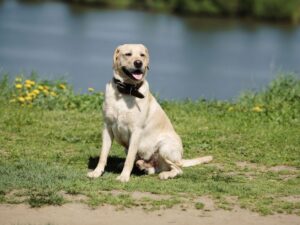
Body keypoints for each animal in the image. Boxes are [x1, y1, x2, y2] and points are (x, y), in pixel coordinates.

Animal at [88, 44, 212, 183]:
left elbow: (129, 158)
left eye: (142, 55)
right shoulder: (107, 127)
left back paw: (165, 174)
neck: (126, 92)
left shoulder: (136, 131)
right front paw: (97, 172)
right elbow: (103, 155)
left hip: (164, 147)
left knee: (177, 169)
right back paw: (141, 165)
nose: (138, 63)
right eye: (128, 54)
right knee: (152, 167)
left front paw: (124, 176)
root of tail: (180, 159)